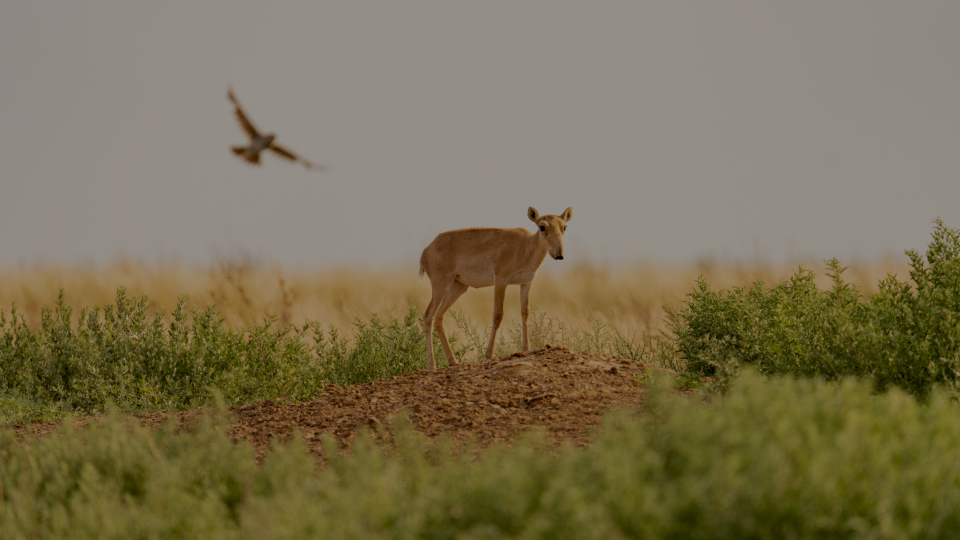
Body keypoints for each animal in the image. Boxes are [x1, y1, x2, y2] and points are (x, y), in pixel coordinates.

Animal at [418, 207, 568, 372]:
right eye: (542, 227)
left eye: (564, 227)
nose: (559, 255)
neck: (525, 245)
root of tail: (425, 252)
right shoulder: (501, 280)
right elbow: (497, 315)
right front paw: (489, 354)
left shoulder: (526, 283)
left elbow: (525, 313)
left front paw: (526, 349)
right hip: (441, 285)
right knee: (428, 316)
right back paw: (432, 365)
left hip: (458, 288)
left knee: (438, 317)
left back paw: (453, 361)